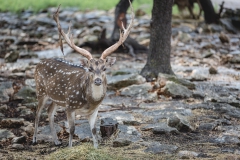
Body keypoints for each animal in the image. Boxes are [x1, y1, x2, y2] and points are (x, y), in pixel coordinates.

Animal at [32, 0, 134, 149]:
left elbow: (94, 130)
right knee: (38, 112)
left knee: (49, 111)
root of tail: (39, 63)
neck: (89, 101)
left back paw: (56, 141)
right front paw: (69, 148)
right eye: (90, 68)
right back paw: (34, 139)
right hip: (40, 90)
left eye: (104, 68)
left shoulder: (94, 110)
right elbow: (72, 129)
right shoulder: (70, 106)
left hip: (56, 98)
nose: (97, 81)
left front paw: (96, 148)